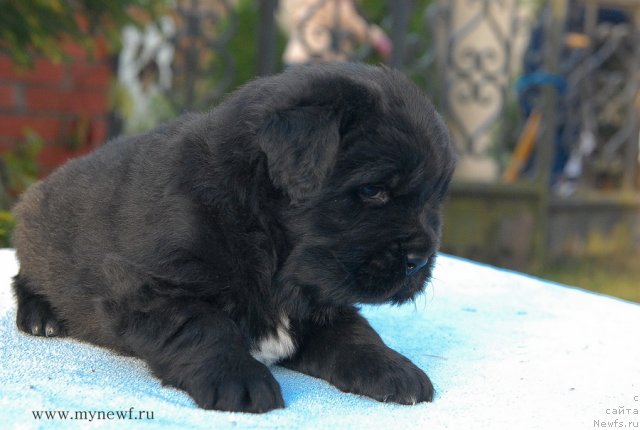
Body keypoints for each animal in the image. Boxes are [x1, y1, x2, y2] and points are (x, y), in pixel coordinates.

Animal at [12, 63, 458, 414]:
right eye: (372, 191)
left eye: (436, 197)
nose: (420, 260)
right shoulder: (150, 288)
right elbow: (205, 327)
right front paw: (240, 378)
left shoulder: (323, 299)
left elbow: (356, 335)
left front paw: (394, 368)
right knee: (24, 278)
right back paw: (41, 316)